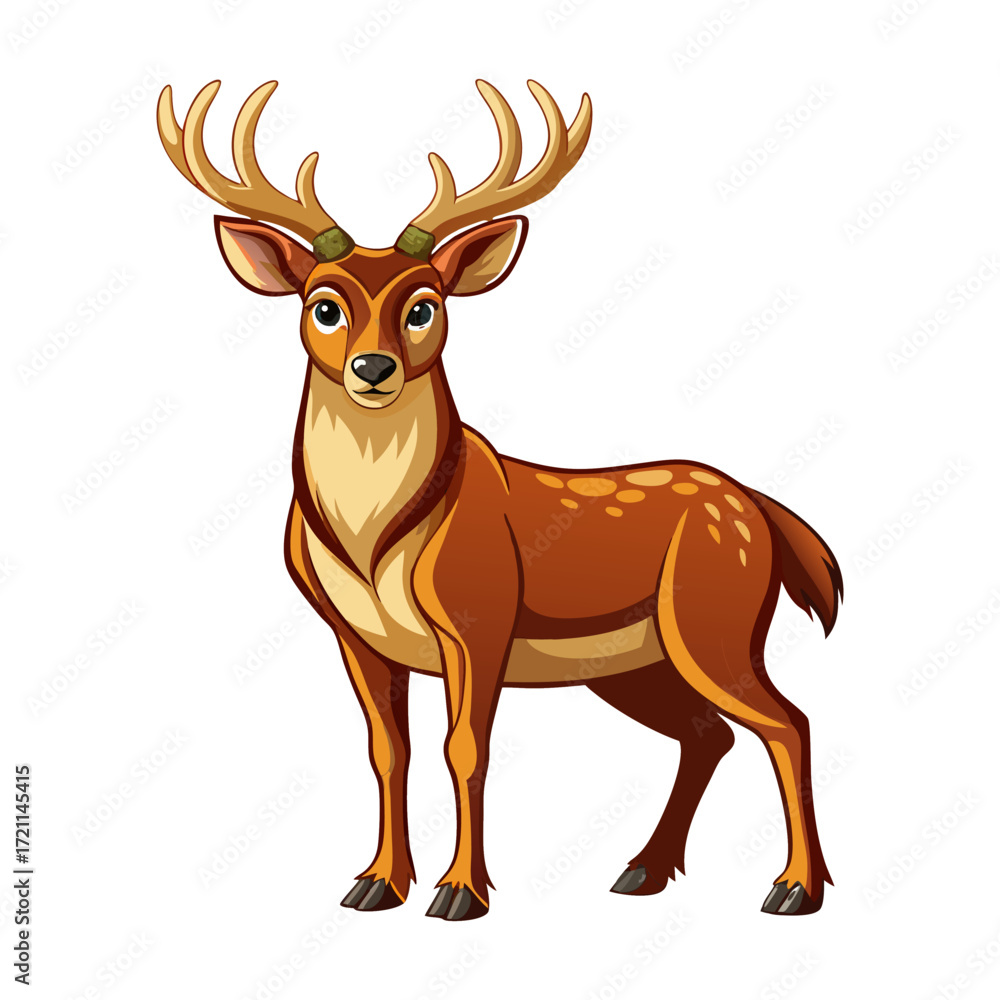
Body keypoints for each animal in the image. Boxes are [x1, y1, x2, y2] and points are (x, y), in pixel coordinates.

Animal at [157, 79, 843, 922]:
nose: (374, 367)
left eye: (424, 304)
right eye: (324, 304)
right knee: (707, 733)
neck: (374, 541)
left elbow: (465, 748)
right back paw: (643, 871)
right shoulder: (351, 635)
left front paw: (459, 892)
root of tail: (762, 511)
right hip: (634, 664)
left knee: (788, 722)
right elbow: (388, 751)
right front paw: (376, 882)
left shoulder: (479, 613)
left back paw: (793, 887)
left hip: (715, 621)